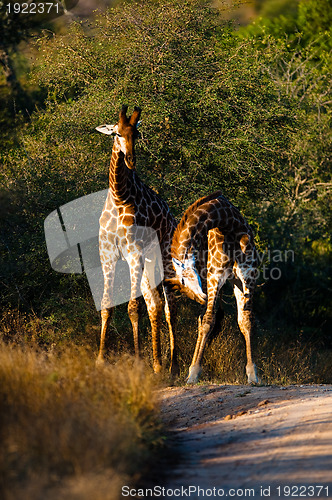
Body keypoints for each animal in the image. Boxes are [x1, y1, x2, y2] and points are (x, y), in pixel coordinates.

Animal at [96, 104, 179, 376]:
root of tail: (172, 218)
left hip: (165, 258)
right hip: (148, 262)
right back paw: (157, 364)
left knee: (168, 308)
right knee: (154, 303)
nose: (130, 160)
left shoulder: (134, 254)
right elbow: (107, 304)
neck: (120, 196)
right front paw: (100, 360)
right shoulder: (108, 256)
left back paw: (172, 366)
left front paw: (137, 361)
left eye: (137, 134)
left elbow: (133, 308)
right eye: (116, 134)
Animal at [166, 190, 260, 382]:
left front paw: (252, 374)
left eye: (183, 279)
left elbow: (246, 320)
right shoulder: (215, 276)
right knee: (203, 318)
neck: (230, 225)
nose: (198, 297)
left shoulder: (247, 277)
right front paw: (194, 373)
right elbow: (209, 320)